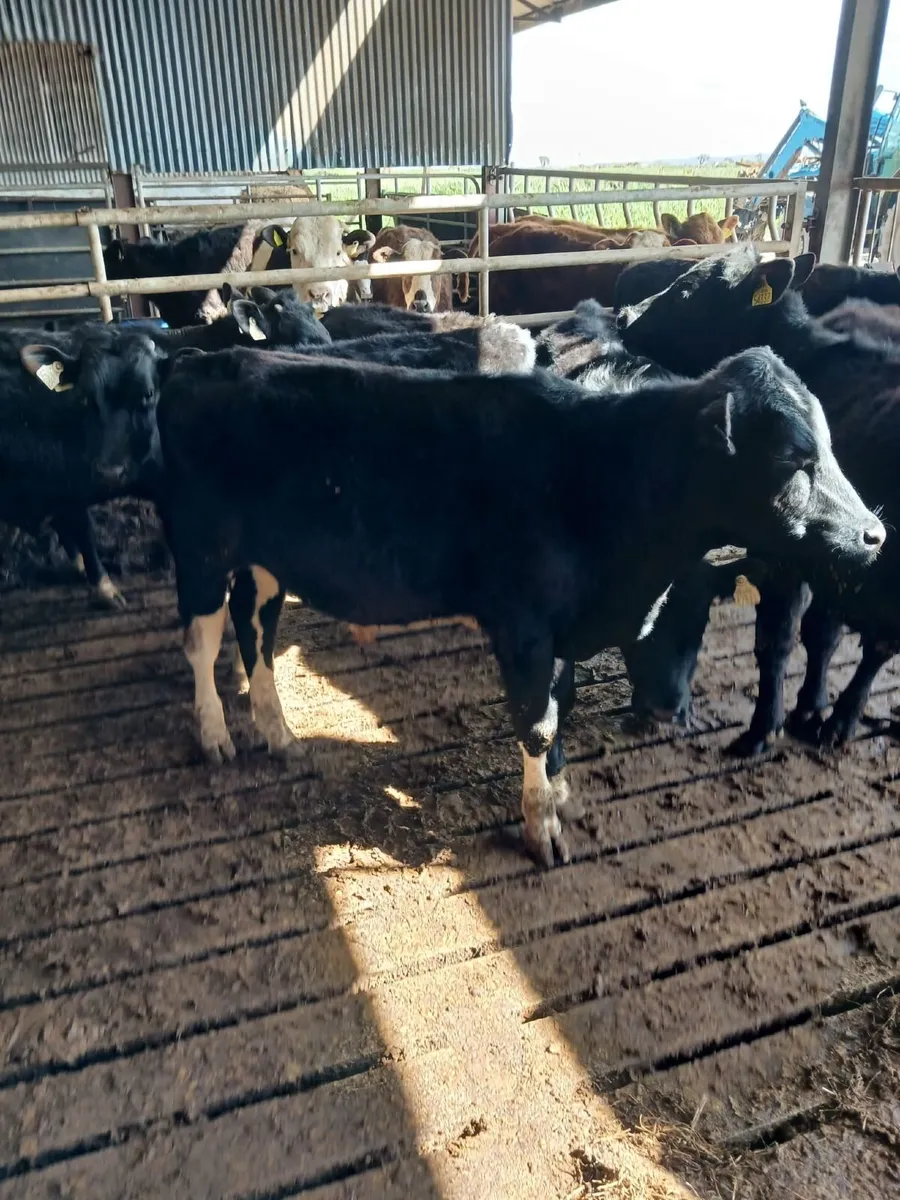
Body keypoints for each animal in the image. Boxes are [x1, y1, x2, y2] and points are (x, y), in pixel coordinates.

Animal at [0, 329, 167, 607]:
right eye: (85, 397)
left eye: (148, 394)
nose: (109, 472)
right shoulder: (68, 484)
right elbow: (85, 532)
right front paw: (105, 588)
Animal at [155, 343, 881, 867]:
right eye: (794, 457)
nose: (874, 533)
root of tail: (199, 361)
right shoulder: (524, 626)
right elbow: (539, 724)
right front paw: (541, 831)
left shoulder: (561, 633)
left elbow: (562, 710)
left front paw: (560, 797)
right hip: (200, 551)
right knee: (203, 642)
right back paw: (217, 736)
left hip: (263, 562)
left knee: (256, 632)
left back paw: (278, 733)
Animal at [619, 246, 900, 753]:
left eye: (687, 289)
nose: (625, 316)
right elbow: (814, 635)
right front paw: (803, 710)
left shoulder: (784, 556)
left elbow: (777, 639)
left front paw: (764, 727)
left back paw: (841, 721)